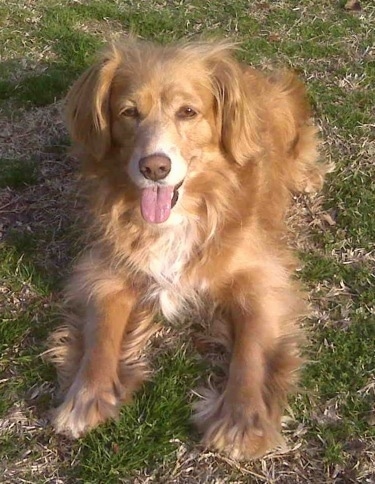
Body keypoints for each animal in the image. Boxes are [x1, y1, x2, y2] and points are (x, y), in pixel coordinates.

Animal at [47, 37, 328, 458]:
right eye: (128, 112)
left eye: (188, 112)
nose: (154, 168)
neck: (187, 211)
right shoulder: (106, 270)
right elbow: (101, 335)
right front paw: (86, 397)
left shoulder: (261, 277)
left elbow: (252, 352)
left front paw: (241, 420)